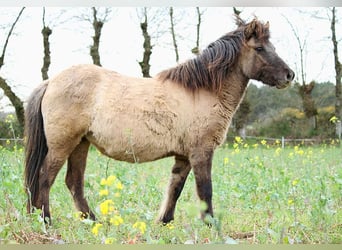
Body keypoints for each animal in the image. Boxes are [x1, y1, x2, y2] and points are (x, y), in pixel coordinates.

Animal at [24, 17, 294, 225]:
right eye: (260, 49)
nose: (289, 75)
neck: (202, 91)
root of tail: (51, 82)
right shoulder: (201, 152)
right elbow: (205, 190)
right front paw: (210, 224)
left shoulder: (184, 156)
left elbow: (175, 188)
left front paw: (164, 222)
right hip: (63, 145)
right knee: (45, 177)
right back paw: (46, 220)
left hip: (81, 144)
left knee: (73, 182)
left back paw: (92, 221)